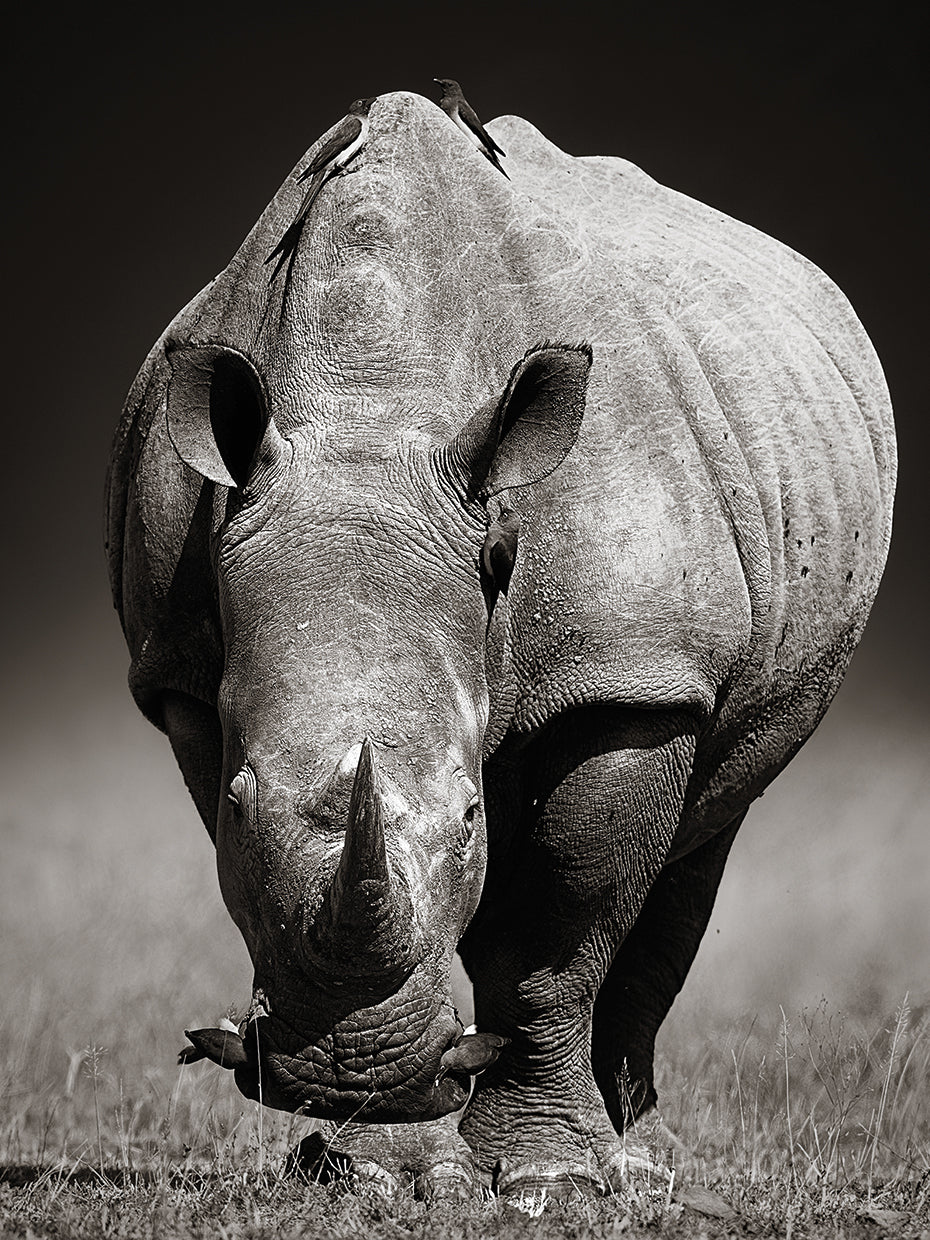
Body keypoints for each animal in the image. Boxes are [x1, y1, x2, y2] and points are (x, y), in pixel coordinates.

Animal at [105, 91, 895, 1198]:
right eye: (237, 799)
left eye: (470, 811)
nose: (356, 1070)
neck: (370, 416)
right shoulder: (180, 673)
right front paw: (370, 1166)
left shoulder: (629, 676)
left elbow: (558, 928)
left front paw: (546, 1179)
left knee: (706, 826)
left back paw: (628, 1148)